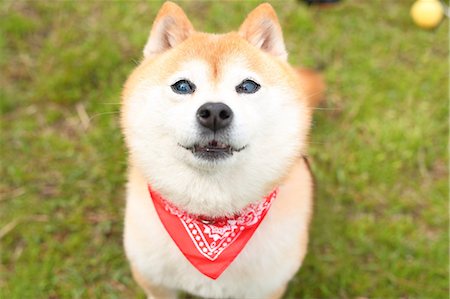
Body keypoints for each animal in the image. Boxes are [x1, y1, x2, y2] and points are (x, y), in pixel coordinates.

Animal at [119, 1, 324, 298]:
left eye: (248, 86)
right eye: (183, 86)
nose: (214, 112)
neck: (212, 219)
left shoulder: (267, 288)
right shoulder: (155, 282)